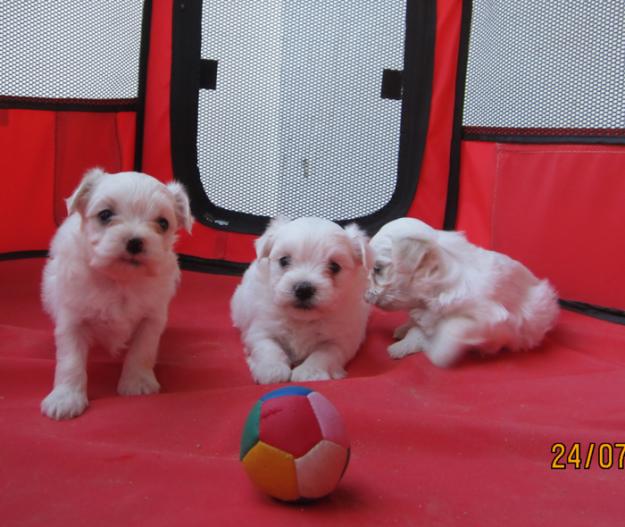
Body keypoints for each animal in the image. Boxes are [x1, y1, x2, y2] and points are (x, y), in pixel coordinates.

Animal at [40, 169, 191, 420]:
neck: (119, 281)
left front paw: (137, 383)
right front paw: (65, 398)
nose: (135, 242)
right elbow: (70, 360)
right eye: (105, 215)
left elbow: (142, 351)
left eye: (163, 222)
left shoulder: (152, 318)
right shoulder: (72, 319)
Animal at [232, 217, 372, 386]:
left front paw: (310, 372)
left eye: (334, 266)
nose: (304, 289)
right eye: (284, 260)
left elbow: (324, 354)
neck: (302, 320)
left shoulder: (342, 340)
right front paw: (272, 369)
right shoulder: (261, 328)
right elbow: (268, 347)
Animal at [364, 218, 560, 368]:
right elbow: (418, 329)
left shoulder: (489, 318)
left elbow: (450, 330)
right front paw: (402, 342)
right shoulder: (427, 313)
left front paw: (436, 352)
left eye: (377, 269)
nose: (364, 294)